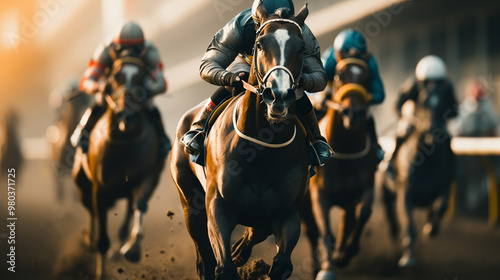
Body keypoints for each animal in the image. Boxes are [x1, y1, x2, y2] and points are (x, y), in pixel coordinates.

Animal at [72, 56, 166, 278]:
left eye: (142, 77)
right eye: (115, 77)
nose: (127, 114)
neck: (125, 142)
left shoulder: (147, 178)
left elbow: (140, 205)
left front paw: (132, 249)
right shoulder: (99, 190)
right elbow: (102, 239)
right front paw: (101, 273)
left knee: (129, 212)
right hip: (82, 185)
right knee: (90, 211)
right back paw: (88, 239)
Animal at [300, 58, 376, 278]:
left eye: (368, 77)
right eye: (339, 76)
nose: (353, 112)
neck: (345, 150)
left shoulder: (365, 188)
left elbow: (363, 213)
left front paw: (346, 253)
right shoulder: (319, 194)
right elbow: (325, 230)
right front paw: (327, 270)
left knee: (348, 221)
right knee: (311, 231)